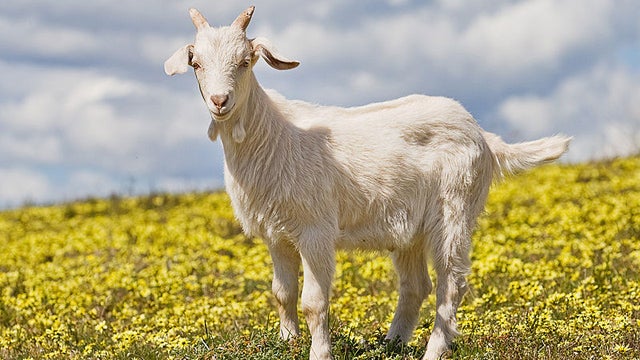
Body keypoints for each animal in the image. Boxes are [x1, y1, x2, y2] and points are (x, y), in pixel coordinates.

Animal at [165, 6, 568, 360]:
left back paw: (433, 350)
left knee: (451, 283)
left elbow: (313, 302)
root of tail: (483, 136)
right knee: (415, 286)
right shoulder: (276, 234)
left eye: (245, 62)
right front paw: (289, 343)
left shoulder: (315, 230)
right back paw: (391, 344)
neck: (275, 135)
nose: (220, 101)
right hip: (410, 229)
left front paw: (319, 353)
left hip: (455, 209)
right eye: (196, 64)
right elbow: (283, 293)